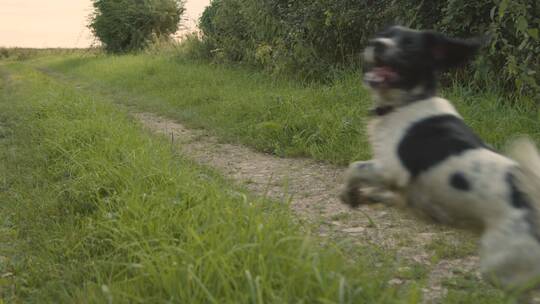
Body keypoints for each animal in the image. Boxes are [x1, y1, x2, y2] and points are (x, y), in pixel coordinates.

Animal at [340, 26, 540, 290]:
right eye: (387, 33)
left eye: (409, 45)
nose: (376, 43)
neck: (407, 103)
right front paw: (363, 196)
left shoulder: (392, 169)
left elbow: (354, 168)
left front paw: (350, 193)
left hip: (499, 265)